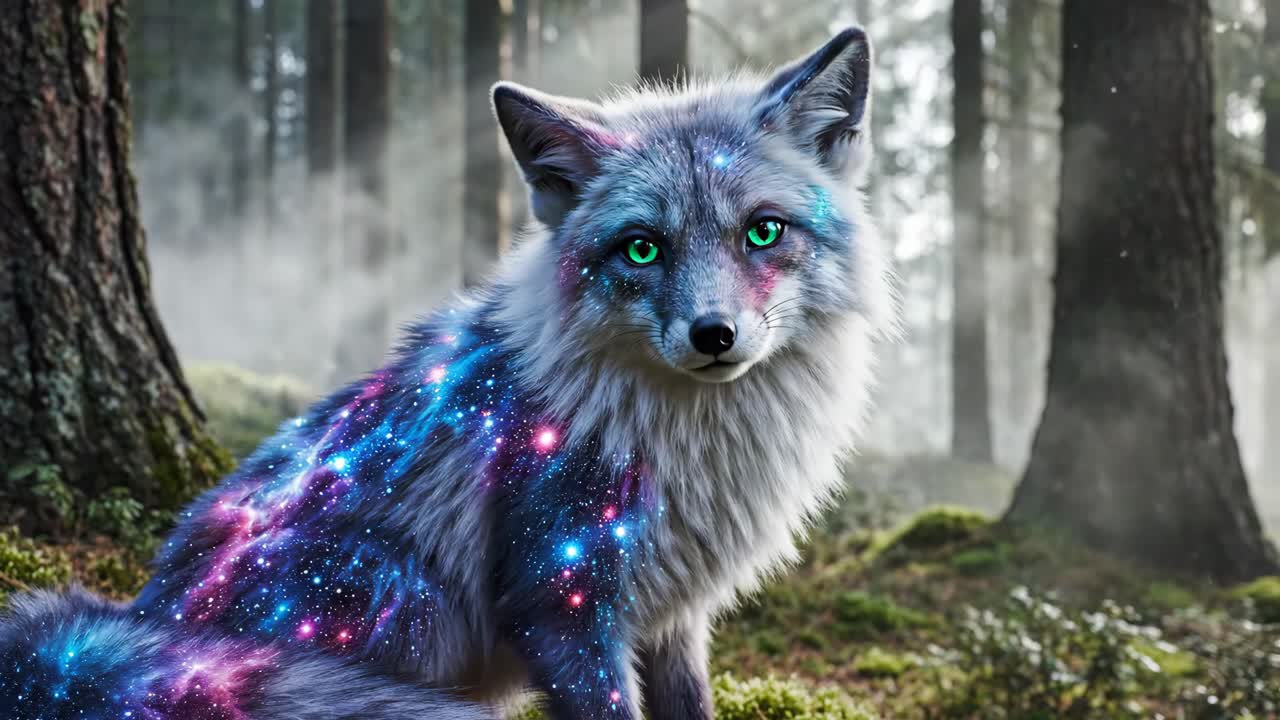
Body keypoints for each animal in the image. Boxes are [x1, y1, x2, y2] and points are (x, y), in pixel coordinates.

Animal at [0, 27, 894, 720]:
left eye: (763, 231)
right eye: (642, 247)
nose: (714, 335)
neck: (694, 449)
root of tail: (139, 618)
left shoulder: (676, 616)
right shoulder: (561, 598)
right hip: (401, 594)